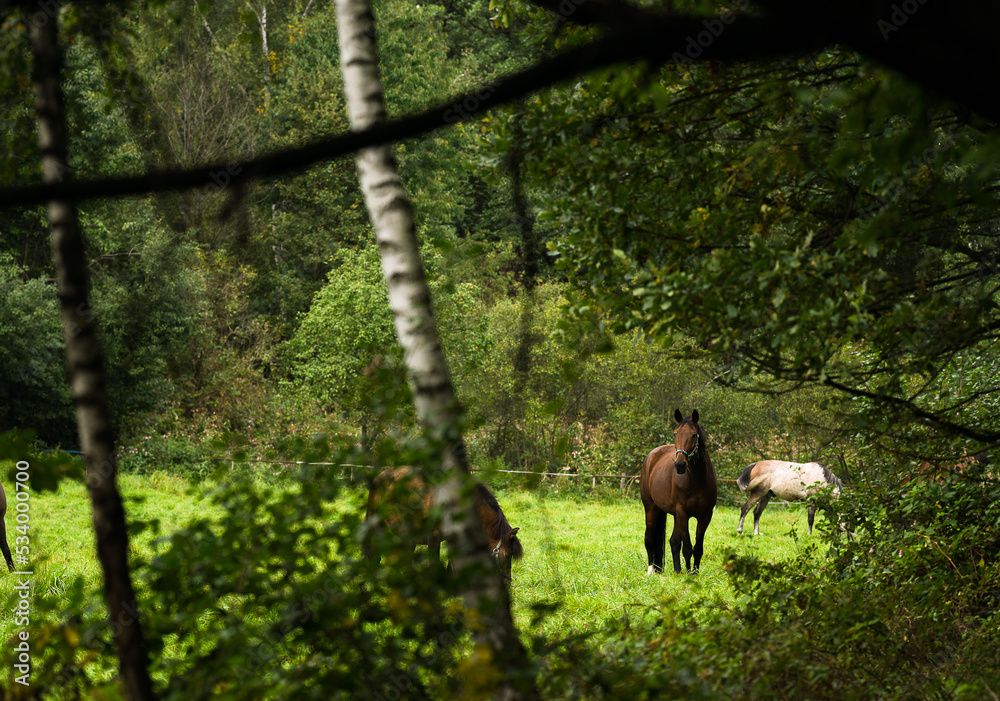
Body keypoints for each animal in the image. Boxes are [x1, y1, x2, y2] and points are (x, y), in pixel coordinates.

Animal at [640, 408, 720, 572]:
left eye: (694, 435)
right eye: (675, 433)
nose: (680, 465)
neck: (697, 480)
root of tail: (651, 456)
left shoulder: (705, 516)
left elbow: (698, 548)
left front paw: (694, 572)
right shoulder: (683, 513)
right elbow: (687, 547)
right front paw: (688, 572)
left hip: (674, 514)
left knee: (673, 541)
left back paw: (677, 571)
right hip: (651, 507)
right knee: (649, 538)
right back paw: (651, 569)